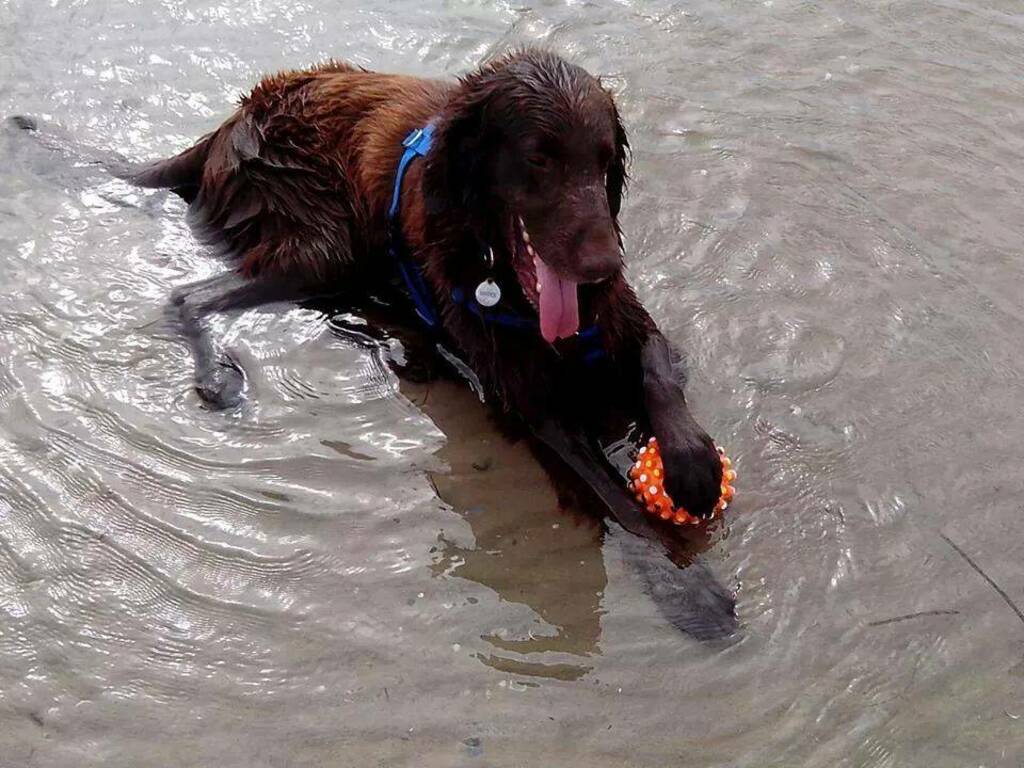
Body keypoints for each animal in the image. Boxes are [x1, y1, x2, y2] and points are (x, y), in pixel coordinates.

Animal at [119, 46, 720, 518]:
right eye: (539, 159)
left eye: (603, 161)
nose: (603, 266)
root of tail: (227, 125)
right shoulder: (536, 408)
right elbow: (628, 513)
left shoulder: (625, 320)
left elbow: (657, 366)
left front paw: (693, 462)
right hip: (323, 242)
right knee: (187, 297)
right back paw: (221, 377)